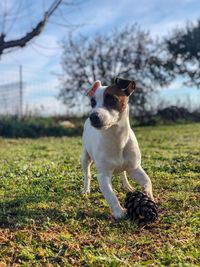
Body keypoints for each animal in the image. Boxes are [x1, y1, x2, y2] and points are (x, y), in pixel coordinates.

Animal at [81, 77, 153, 220]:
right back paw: (86, 189)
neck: (117, 138)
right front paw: (119, 212)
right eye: (92, 102)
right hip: (85, 158)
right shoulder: (103, 176)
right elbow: (110, 195)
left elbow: (148, 181)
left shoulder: (135, 168)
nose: (93, 116)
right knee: (88, 174)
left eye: (112, 99)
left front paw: (148, 197)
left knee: (123, 173)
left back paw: (128, 186)